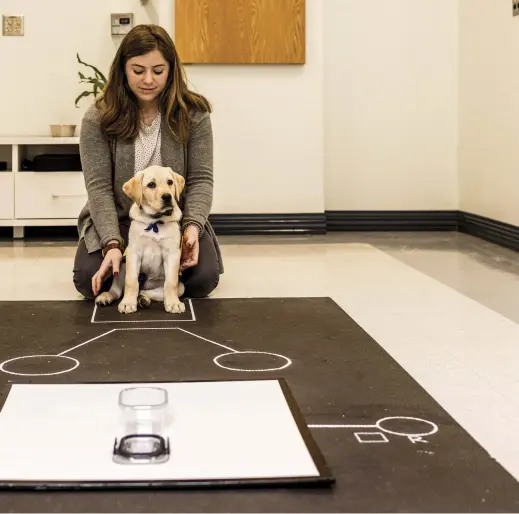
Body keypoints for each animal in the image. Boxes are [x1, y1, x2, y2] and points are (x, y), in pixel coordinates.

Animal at [95, 166, 187, 314]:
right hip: (121, 265)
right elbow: (131, 282)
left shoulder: (172, 254)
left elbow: (170, 283)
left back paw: (144, 298)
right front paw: (127, 303)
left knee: (151, 291)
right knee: (117, 290)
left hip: (179, 286)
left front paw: (173, 303)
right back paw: (106, 296)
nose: (168, 197)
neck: (155, 221)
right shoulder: (133, 253)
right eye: (151, 185)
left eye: (170, 182)